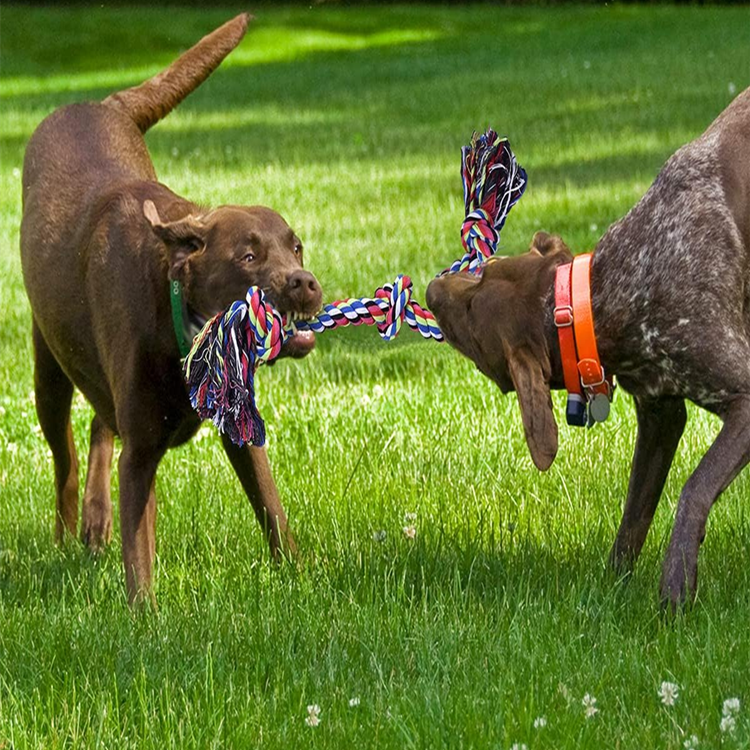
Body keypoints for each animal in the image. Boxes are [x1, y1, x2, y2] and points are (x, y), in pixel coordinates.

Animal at [22, 13, 322, 604]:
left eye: (295, 248)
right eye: (248, 256)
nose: (305, 283)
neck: (182, 319)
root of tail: (100, 102)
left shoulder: (237, 426)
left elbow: (272, 510)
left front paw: (302, 580)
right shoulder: (140, 453)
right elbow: (138, 552)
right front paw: (145, 617)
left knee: (99, 424)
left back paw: (96, 521)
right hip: (48, 369)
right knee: (65, 456)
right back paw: (70, 537)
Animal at [432, 86, 750, 612]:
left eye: (472, 311)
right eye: (480, 271)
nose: (431, 289)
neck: (597, 301)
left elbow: (694, 487)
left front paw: (677, 581)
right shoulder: (661, 416)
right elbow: (635, 515)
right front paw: (613, 590)